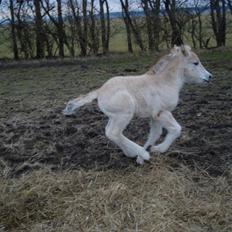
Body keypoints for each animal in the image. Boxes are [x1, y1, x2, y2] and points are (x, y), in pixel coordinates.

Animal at [63, 45, 212, 164]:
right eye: (196, 63)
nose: (210, 77)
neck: (164, 82)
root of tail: (100, 91)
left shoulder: (154, 116)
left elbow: (155, 133)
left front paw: (141, 158)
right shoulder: (162, 112)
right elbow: (176, 129)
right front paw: (156, 150)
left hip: (114, 116)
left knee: (109, 132)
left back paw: (133, 153)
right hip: (124, 114)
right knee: (114, 133)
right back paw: (142, 153)